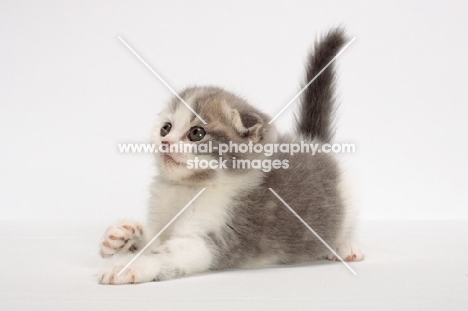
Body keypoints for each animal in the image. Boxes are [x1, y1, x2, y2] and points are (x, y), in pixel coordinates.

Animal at [98, 28, 362, 286]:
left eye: (196, 133)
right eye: (165, 128)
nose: (165, 142)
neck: (185, 189)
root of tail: (311, 142)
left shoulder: (213, 239)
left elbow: (165, 254)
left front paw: (126, 267)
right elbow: (153, 240)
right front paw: (123, 235)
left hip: (347, 202)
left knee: (346, 226)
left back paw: (345, 246)